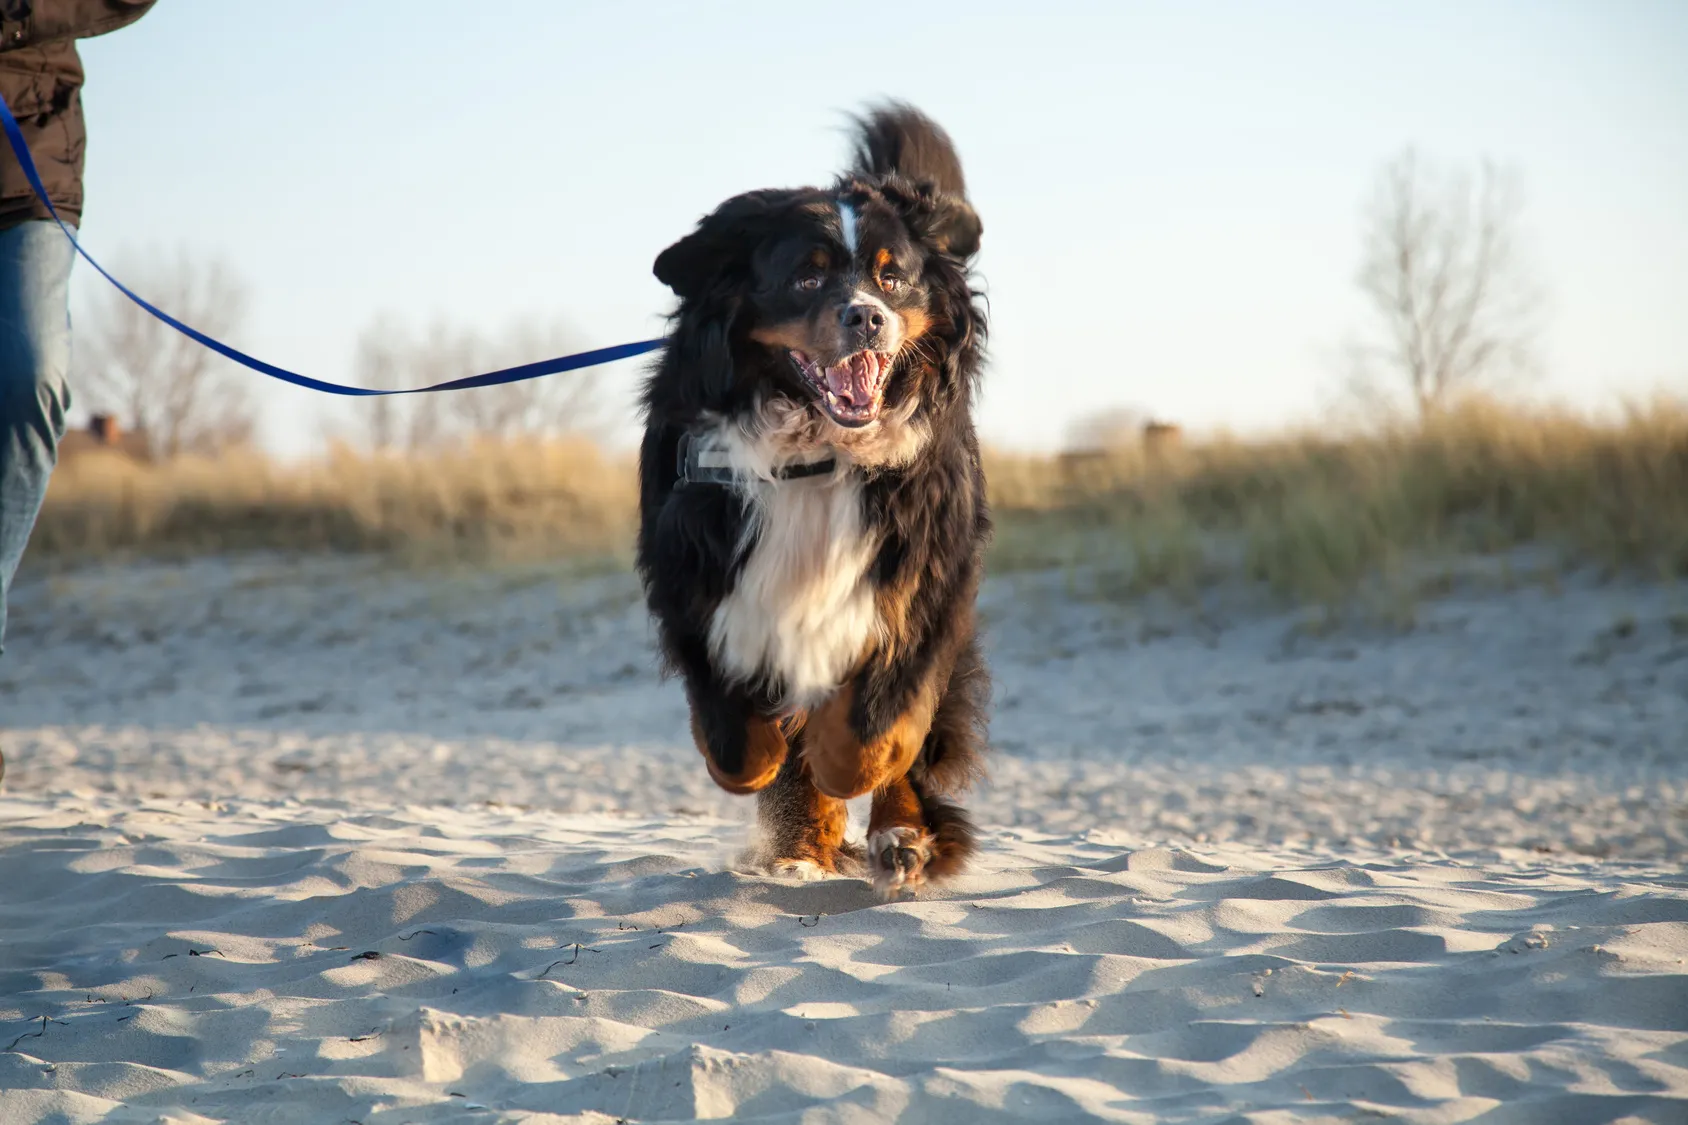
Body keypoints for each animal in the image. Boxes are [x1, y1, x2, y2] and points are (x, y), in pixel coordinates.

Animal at [638, 103, 992, 891]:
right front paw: (790, 800)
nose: (865, 317)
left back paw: (902, 837)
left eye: (893, 279)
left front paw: (851, 783)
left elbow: (869, 734)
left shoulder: (916, 581)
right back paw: (801, 846)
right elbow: (740, 746)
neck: (813, 455)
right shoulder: (701, 575)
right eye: (806, 278)